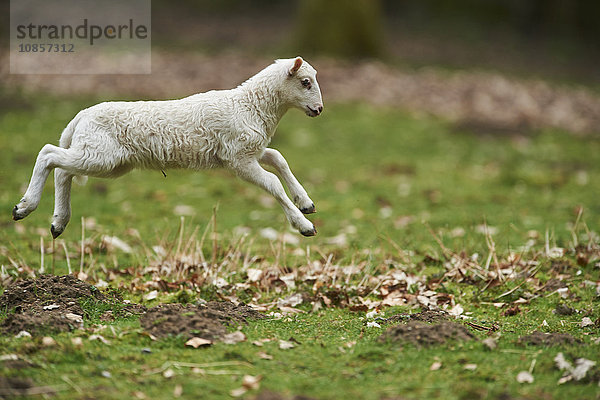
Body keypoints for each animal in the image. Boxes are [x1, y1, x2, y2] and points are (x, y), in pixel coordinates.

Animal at [12, 56, 324, 238]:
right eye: (305, 82)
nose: (319, 109)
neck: (250, 106)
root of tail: (80, 116)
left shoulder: (250, 152)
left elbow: (279, 158)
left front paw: (306, 202)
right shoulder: (238, 159)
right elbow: (272, 183)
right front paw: (304, 225)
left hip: (105, 160)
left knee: (62, 170)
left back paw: (58, 222)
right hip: (100, 155)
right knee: (48, 154)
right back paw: (25, 206)